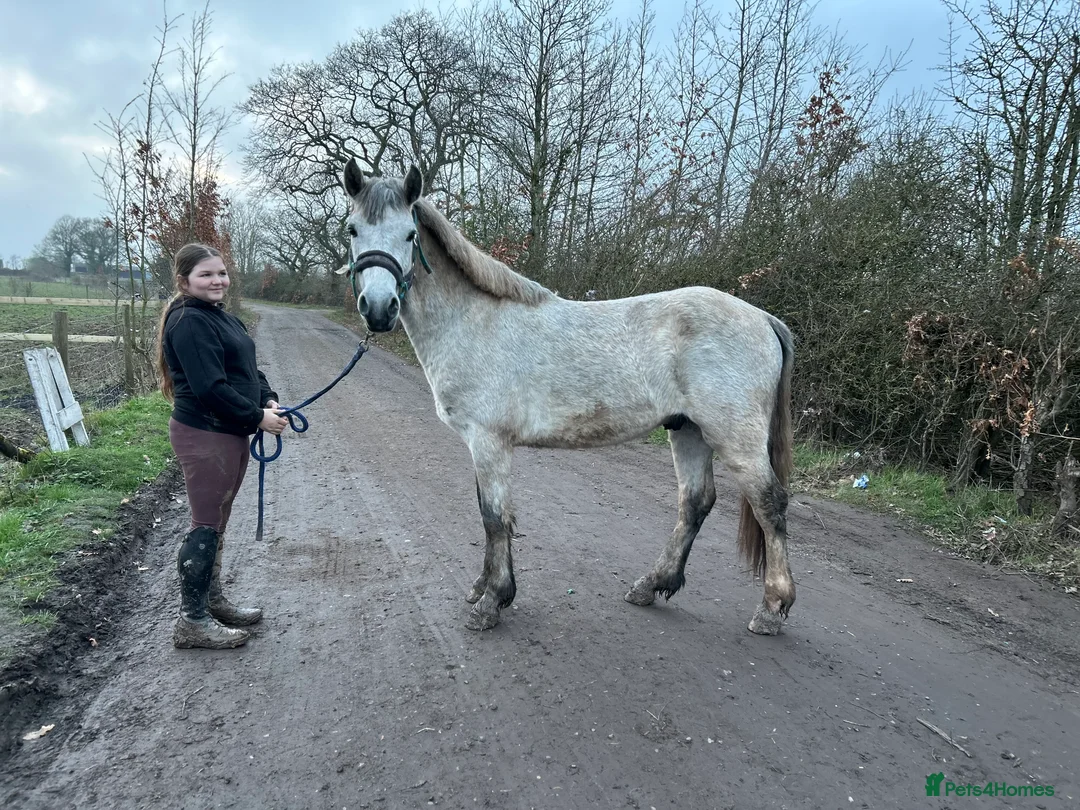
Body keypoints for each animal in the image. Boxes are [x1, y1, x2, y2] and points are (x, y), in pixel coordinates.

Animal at [338, 158, 797, 635]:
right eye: (352, 230)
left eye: (410, 234)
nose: (378, 309)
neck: (473, 321)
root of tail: (763, 318)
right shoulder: (479, 443)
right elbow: (486, 511)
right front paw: (482, 588)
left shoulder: (488, 440)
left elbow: (495, 518)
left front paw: (492, 601)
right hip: (687, 430)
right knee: (695, 503)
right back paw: (651, 585)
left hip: (734, 439)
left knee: (770, 505)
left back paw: (771, 609)